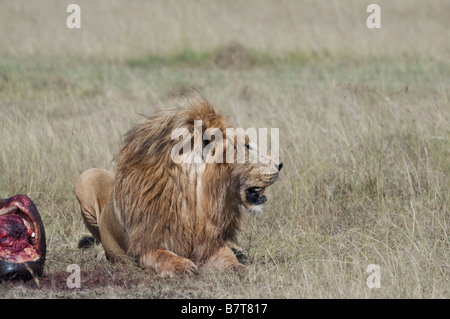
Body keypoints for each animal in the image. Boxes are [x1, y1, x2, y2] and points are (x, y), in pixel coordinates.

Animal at [75, 95, 284, 278]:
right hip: (85, 177)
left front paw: (239, 267)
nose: (280, 164)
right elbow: (161, 255)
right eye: (247, 146)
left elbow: (227, 255)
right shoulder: (146, 245)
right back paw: (102, 255)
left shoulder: (208, 242)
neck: (195, 197)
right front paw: (181, 266)